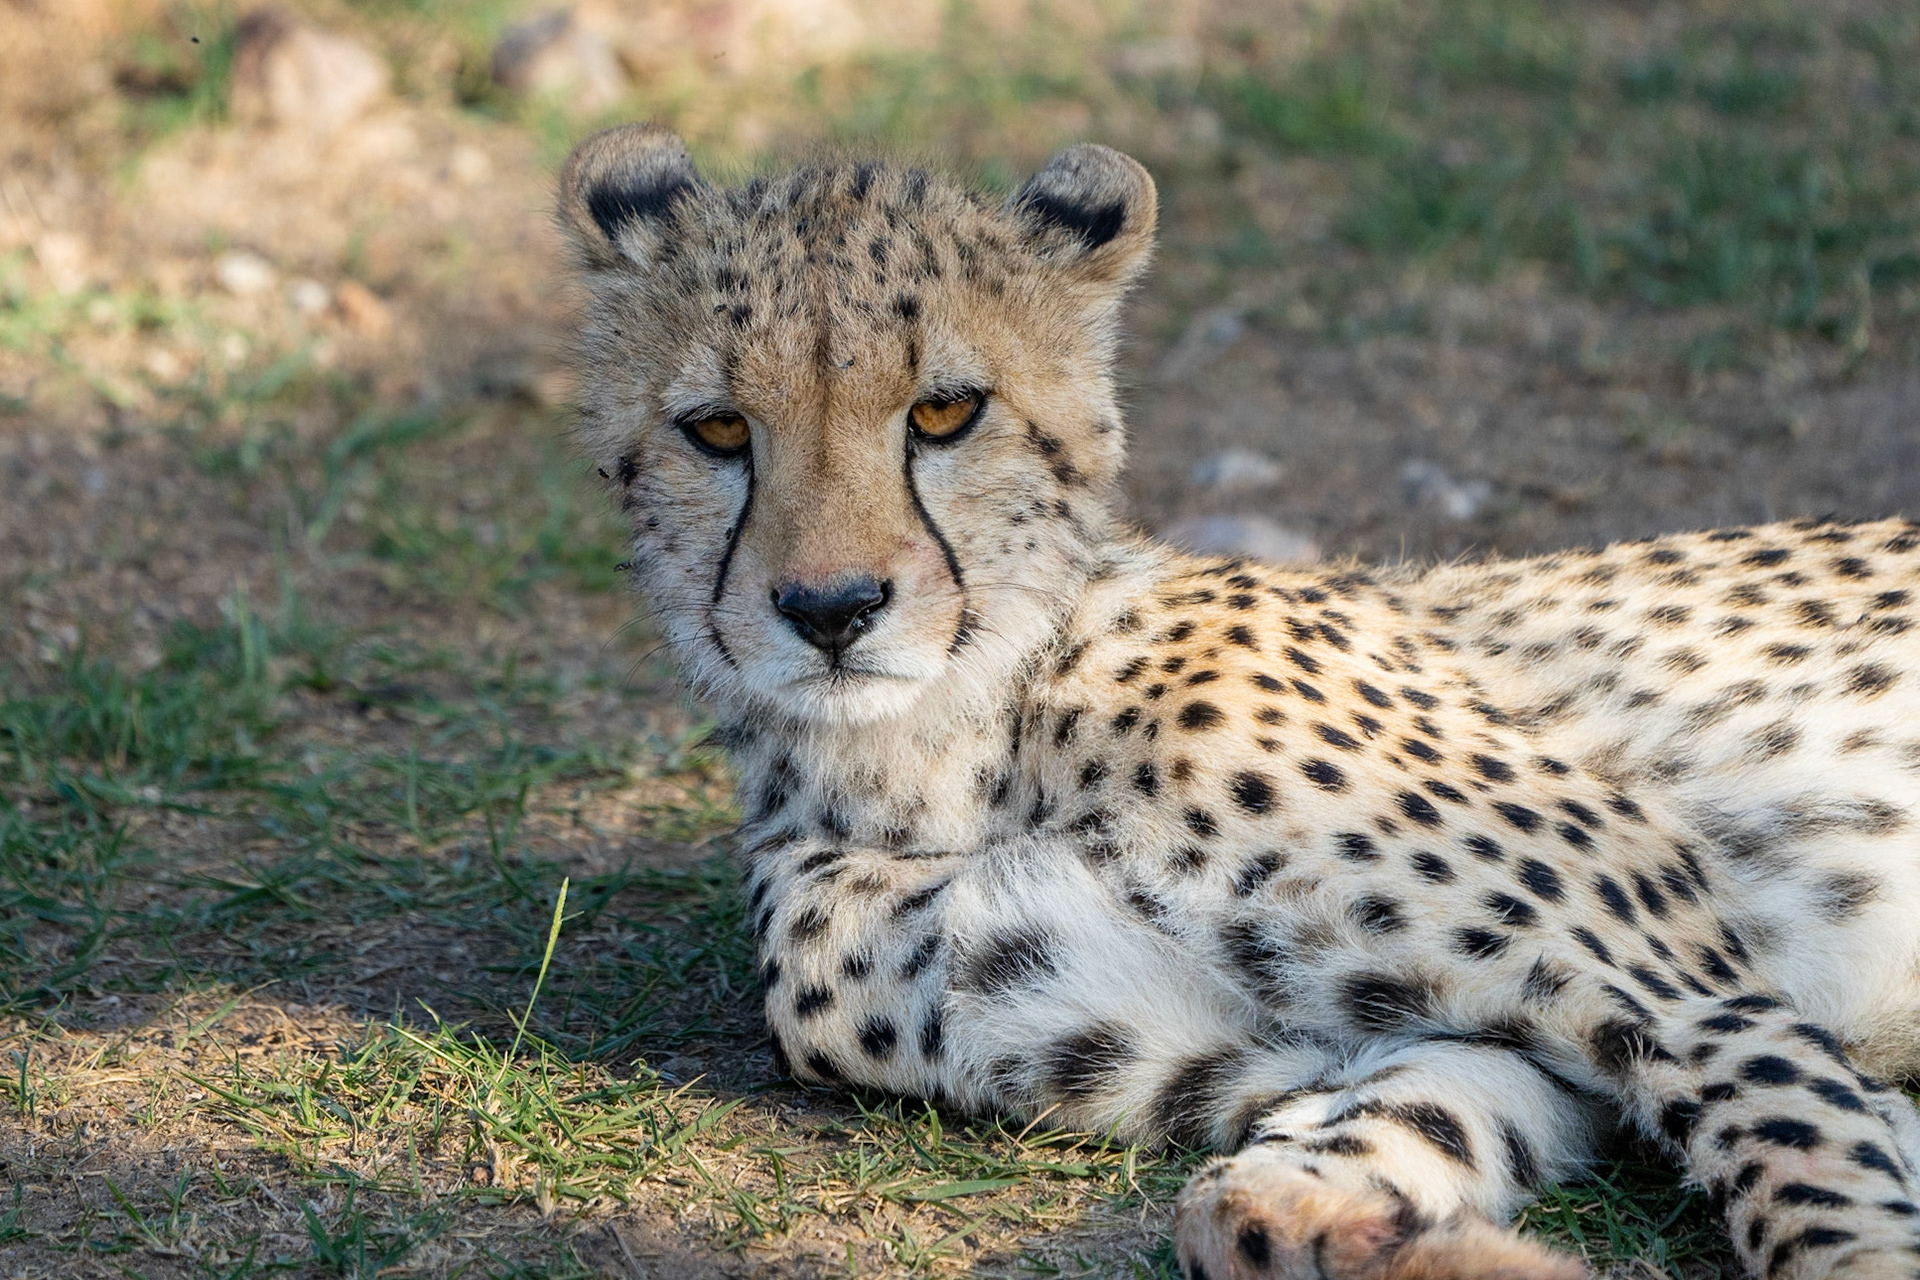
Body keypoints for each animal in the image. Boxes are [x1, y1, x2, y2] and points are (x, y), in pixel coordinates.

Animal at [557, 122, 1920, 1279]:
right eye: (716, 429)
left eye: (945, 410)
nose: (830, 608)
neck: (962, 753)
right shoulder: (1451, 1043)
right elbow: (1308, 1162)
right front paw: (1369, 1232)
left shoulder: (1695, 996)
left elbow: (1820, 1178)